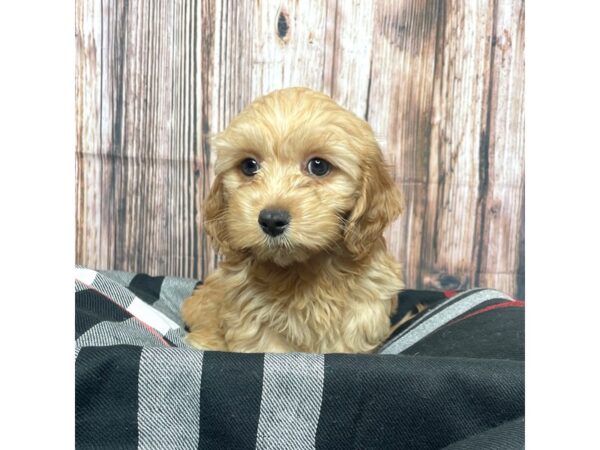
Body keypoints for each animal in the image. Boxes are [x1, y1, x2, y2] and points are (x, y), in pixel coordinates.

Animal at [183, 88, 406, 354]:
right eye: (249, 165)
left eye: (318, 166)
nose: (271, 220)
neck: (302, 269)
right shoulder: (253, 317)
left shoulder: (363, 309)